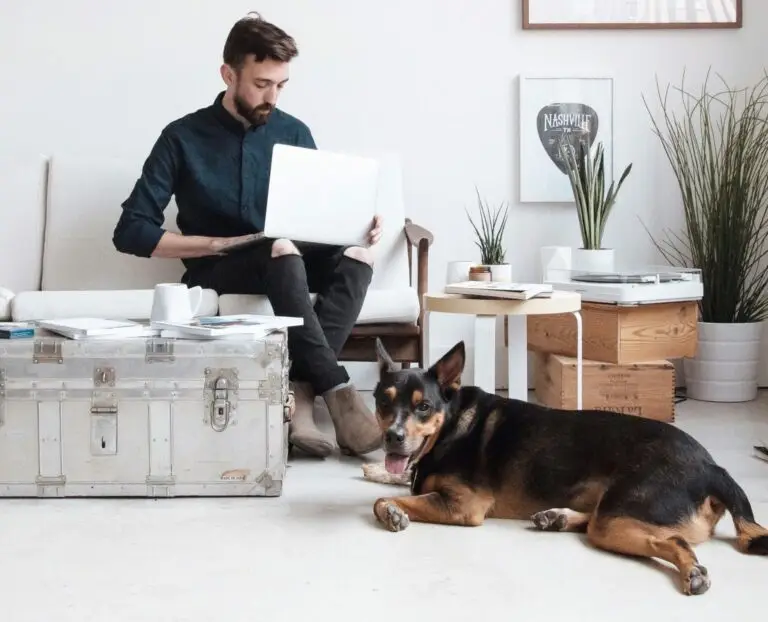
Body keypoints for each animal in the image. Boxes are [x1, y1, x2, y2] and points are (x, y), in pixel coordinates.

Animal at [366, 342, 768, 600]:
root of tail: (711, 466)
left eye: (423, 407)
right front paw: (380, 478)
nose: (392, 437)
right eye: (383, 402)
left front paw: (393, 511)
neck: (449, 424)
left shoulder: (465, 505)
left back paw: (692, 572)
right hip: (611, 515)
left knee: (673, 541)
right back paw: (556, 517)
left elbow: (385, 500)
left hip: (618, 515)